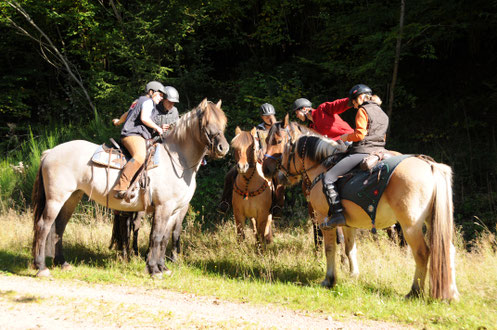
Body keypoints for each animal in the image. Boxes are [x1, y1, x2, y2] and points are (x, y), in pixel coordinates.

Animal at [32, 98, 230, 278]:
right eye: (207, 122)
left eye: (223, 123)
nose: (224, 148)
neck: (177, 161)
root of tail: (50, 152)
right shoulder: (163, 207)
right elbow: (156, 237)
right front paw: (153, 270)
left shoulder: (175, 211)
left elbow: (165, 238)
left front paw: (162, 267)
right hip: (56, 199)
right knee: (44, 226)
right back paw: (42, 268)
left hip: (72, 197)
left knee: (59, 227)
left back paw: (62, 263)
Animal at [262, 114, 460, 302]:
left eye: (278, 142)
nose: (268, 170)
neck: (323, 166)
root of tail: (430, 165)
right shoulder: (348, 224)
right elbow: (350, 248)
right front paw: (353, 275)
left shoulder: (324, 219)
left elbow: (330, 249)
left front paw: (329, 279)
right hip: (430, 221)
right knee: (448, 250)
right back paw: (451, 293)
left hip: (410, 226)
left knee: (422, 253)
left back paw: (414, 291)